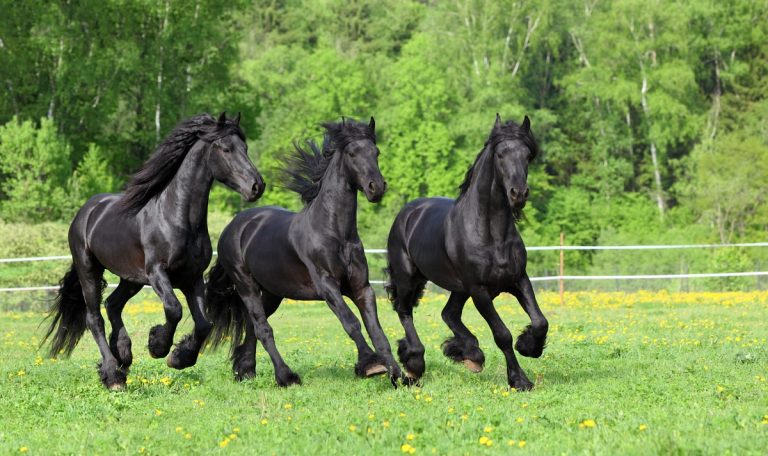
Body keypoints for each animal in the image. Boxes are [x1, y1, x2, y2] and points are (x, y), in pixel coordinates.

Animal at [43, 112, 265, 390]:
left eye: (245, 148)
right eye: (226, 149)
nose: (257, 186)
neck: (176, 217)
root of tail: (87, 211)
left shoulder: (192, 278)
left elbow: (204, 324)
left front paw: (179, 357)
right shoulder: (158, 273)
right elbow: (173, 309)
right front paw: (157, 345)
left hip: (131, 278)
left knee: (112, 304)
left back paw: (123, 355)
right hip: (89, 269)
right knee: (94, 318)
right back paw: (113, 374)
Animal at [205, 117, 403, 387]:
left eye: (376, 152)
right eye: (352, 153)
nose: (376, 188)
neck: (334, 232)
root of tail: (233, 226)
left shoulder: (362, 287)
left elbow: (377, 330)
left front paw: (399, 375)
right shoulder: (327, 286)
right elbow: (351, 323)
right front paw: (371, 365)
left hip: (272, 293)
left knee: (253, 326)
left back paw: (245, 371)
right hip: (246, 286)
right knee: (262, 328)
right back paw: (285, 376)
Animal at [385, 114, 548, 391]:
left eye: (527, 155)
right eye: (500, 154)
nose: (518, 193)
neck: (491, 233)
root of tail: (407, 213)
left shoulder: (518, 279)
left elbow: (540, 321)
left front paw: (528, 346)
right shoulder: (479, 290)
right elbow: (502, 334)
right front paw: (519, 380)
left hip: (459, 288)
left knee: (448, 313)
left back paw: (471, 355)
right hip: (409, 278)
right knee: (404, 310)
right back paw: (415, 365)